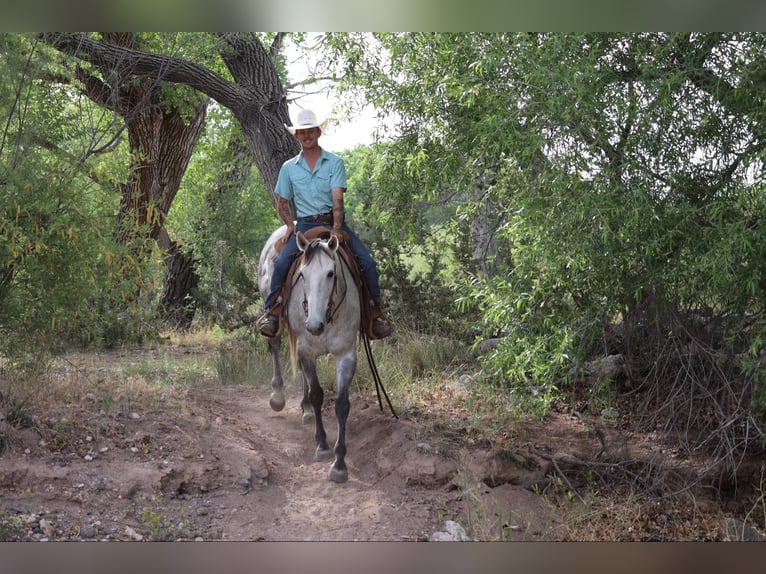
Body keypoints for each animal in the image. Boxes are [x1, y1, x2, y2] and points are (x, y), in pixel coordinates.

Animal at [258, 224, 361, 483]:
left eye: (331, 273)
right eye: (302, 275)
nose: (314, 325)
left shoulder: (346, 354)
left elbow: (342, 404)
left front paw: (339, 463)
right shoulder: (306, 348)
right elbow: (317, 395)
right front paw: (322, 445)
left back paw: (305, 410)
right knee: (275, 345)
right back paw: (278, 396)